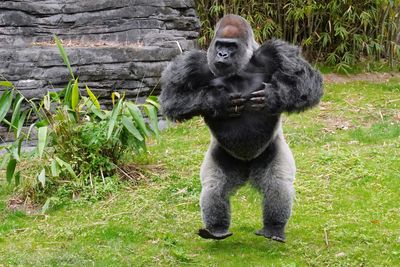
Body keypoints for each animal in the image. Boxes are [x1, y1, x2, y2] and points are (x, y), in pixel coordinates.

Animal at [158, 15, 324, 244]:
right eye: (220, 45)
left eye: (231, 46)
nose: (222, 54)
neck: (240, 68)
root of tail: (246, 171)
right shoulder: (194, 64)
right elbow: (172, 97)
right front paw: (216, 100)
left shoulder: (276, 53)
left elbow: (306, 81)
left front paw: (273, 96)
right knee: (215, 187)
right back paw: (217, 230)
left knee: (277, 184)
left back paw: (273, 228)